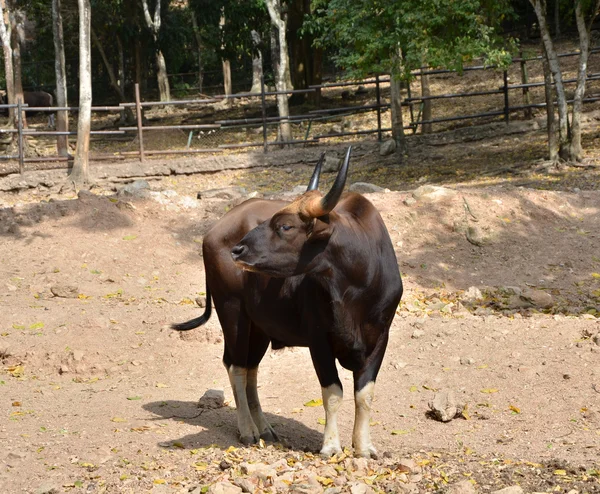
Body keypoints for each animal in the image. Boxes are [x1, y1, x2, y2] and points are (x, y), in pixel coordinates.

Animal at [176, 149, 406, 458]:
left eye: (285, 226)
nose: (238, 249)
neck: (356, 286)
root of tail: (212, 232)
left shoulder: (380, 338)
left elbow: (364, 394)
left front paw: (363, 446)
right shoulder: (319, 340)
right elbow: (333, 392)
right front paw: (331, 445)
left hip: (259, 327)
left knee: (251, 368)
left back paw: (264, 428)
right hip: (232, 312)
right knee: (236, 366)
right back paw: (247, 429)